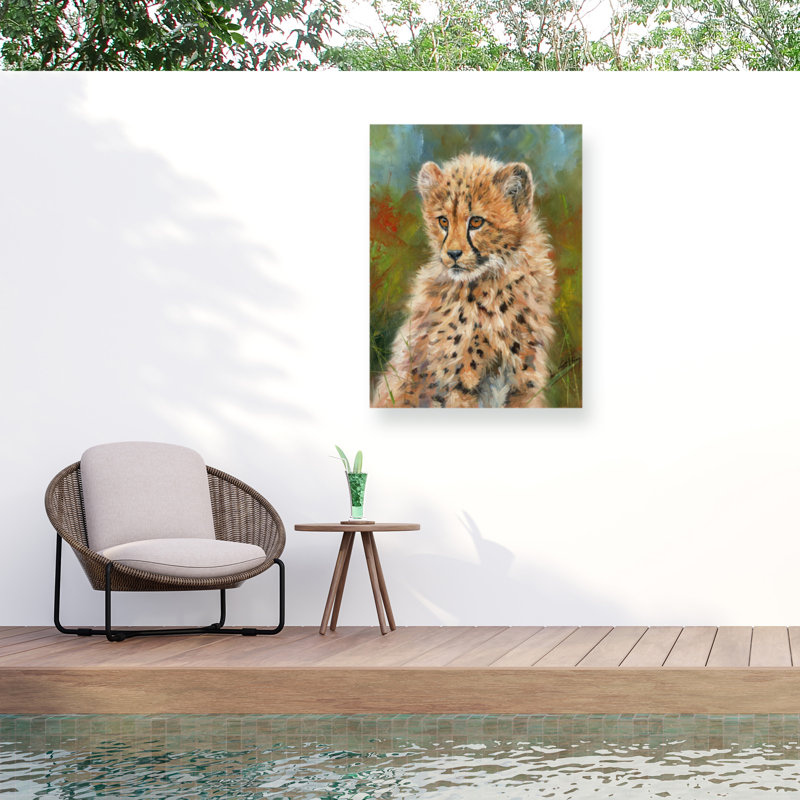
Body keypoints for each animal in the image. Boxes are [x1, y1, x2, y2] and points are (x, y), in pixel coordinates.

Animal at [372, 153, 557, 408]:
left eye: (476, 222)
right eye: (443, 221)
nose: (453, 254)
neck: (493, 284)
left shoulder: (523, 382)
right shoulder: (457, 385)